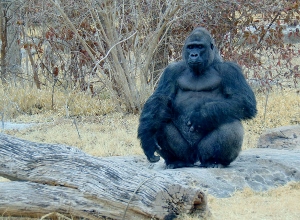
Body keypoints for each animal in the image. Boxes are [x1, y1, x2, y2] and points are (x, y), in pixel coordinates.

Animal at [137, 27, 256, 168]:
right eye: (191, 47)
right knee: (160, 121)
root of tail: (195, 159)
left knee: (230, 123)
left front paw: (202, 115)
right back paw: (176, 160)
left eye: (199, 47)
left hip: (202, 152)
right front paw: (147, 138)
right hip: (186, 153)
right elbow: (160, 99)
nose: (194, 55)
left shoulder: (231, 70)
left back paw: (215, 161)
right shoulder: (171, 70)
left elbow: (244, 101)